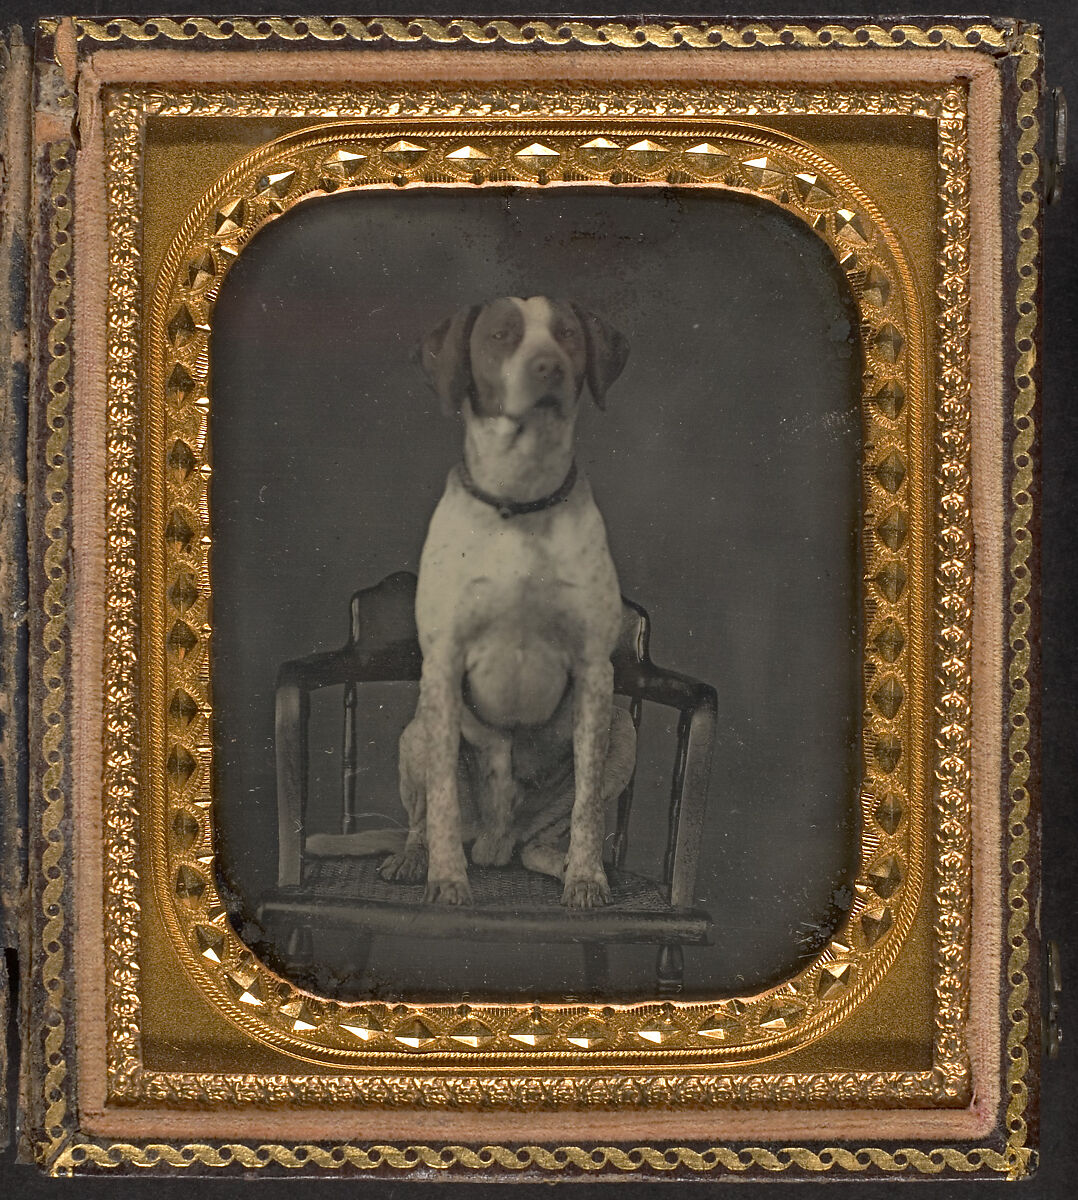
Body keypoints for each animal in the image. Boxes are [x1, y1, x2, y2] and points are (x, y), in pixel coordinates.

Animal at [376, 295, 629, 902]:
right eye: (500, 335)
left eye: (567, 334)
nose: (548, 368)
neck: (521, 498)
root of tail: (496, 837)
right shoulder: (443, 666)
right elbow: (443, 799)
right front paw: (447, 880)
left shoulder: (595, 671)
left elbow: (588, 807)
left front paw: (586, 878)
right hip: (414, 733)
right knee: (425, 817)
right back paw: (416, 859)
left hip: (622, 730)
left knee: (547, 838)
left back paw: (562, 862)